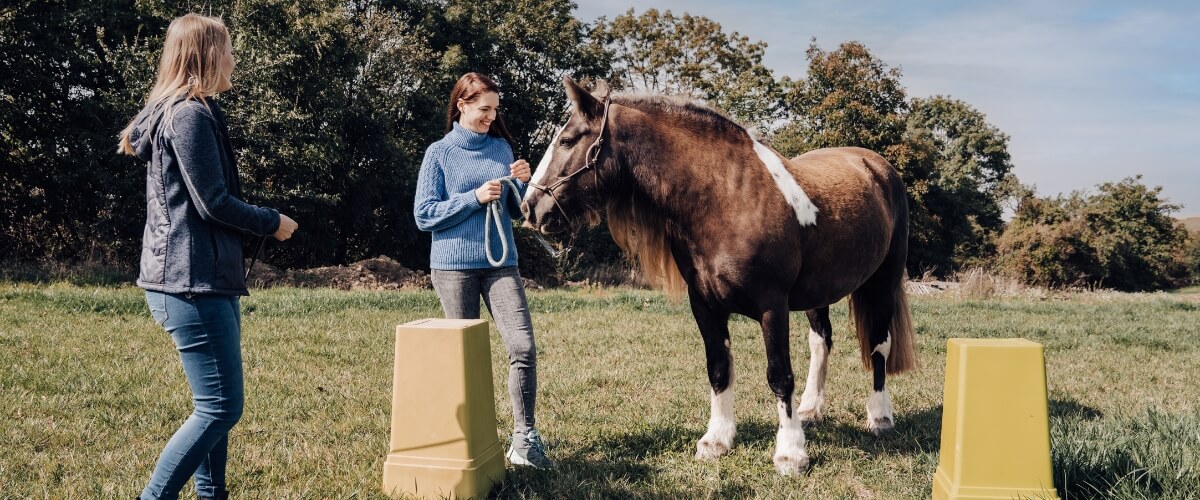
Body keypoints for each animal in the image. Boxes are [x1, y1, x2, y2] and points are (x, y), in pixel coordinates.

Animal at [520, 76, 912, 472]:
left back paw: (880, 416)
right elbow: (719, 369)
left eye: (568, 140)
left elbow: (779, 375)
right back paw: (811, 408)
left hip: (883, 282)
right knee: (821, 341)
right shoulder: (705, 306)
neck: (726, 198)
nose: (530, 207)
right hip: (820, 293)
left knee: (879, 344)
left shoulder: (773, 306)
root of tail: (877, 167)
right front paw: (717, 440)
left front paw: (790, 452)